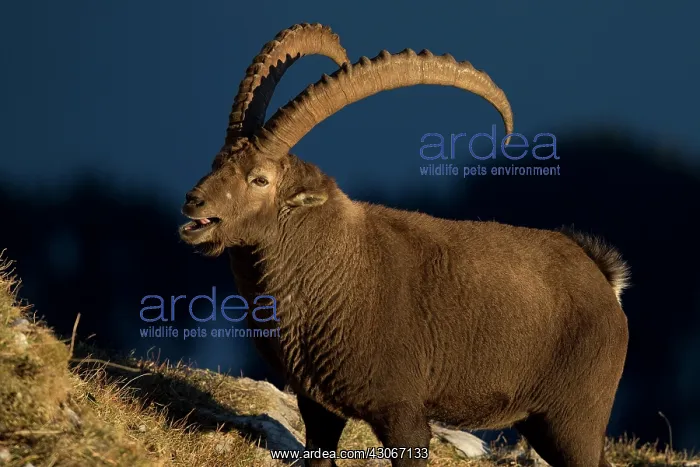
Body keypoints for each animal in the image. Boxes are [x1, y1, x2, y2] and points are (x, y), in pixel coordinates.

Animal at [180, 24, 629, 467]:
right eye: (217, 162)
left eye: (260, 179)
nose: (193, 202)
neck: (333, 268)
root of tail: (604, 281)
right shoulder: (318, 405)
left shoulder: (401, 412)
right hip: (541, 423)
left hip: (574, 419)